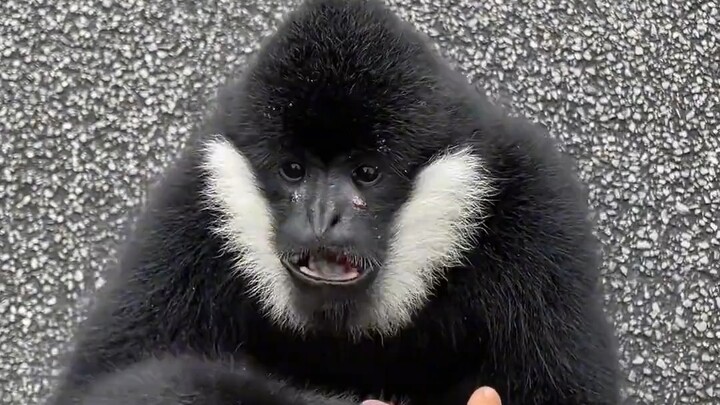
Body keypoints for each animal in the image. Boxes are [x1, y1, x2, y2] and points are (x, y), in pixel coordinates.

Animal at [46, 0, 622, 404]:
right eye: (293, 170)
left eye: (366, 173)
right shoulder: (190, 205)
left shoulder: (537, 209)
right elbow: (108, 385)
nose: (323, 216)